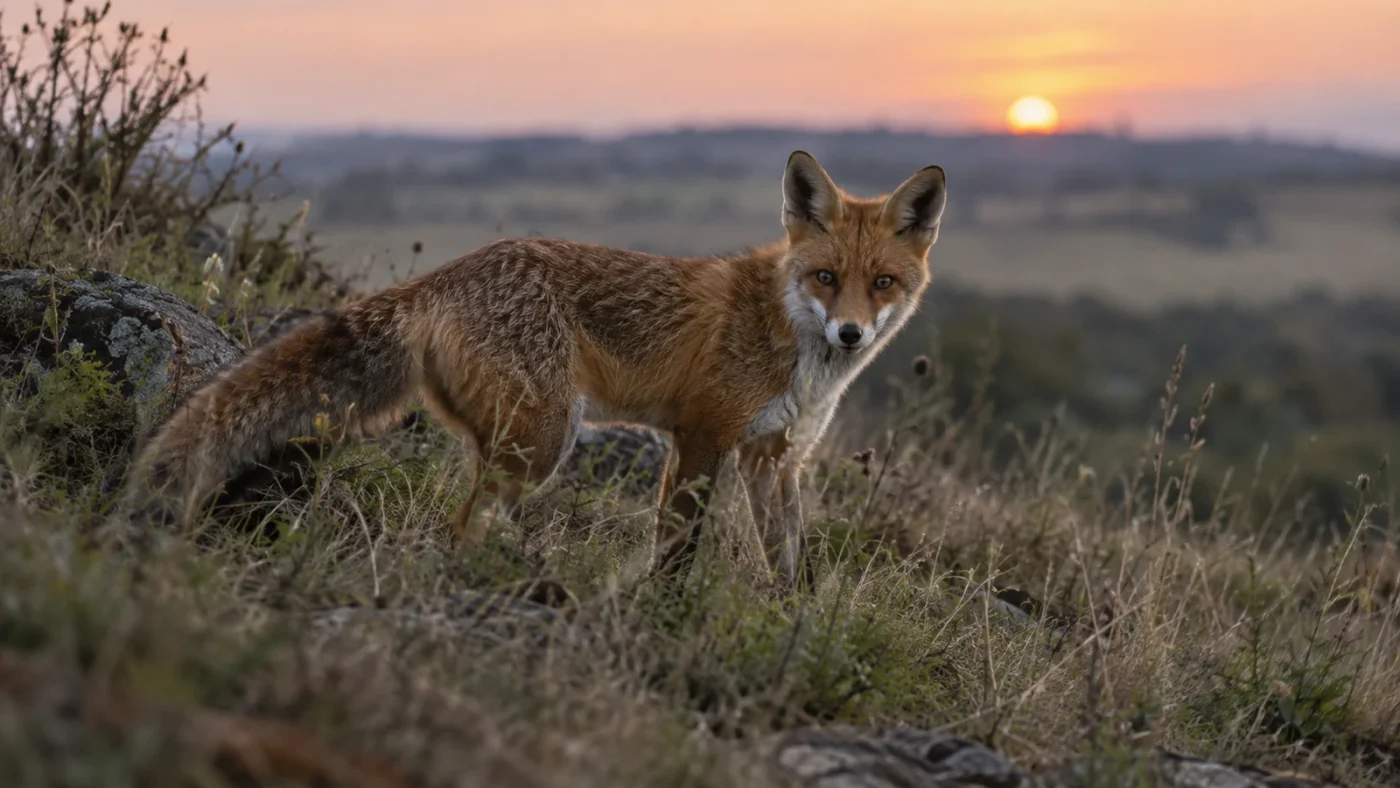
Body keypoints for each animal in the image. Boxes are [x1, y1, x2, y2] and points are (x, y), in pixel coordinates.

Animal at [122, 150, 947, 588]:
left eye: (881, 283)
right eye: (824, 277)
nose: (850, 333)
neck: (791, 344)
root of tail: (449, 273)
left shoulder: (773, 458)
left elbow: (789, 562)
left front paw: (790, 621)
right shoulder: (702, 438)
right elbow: (676, 554)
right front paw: (666, 615)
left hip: (519, 444)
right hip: (545, 441)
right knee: (459, 528)